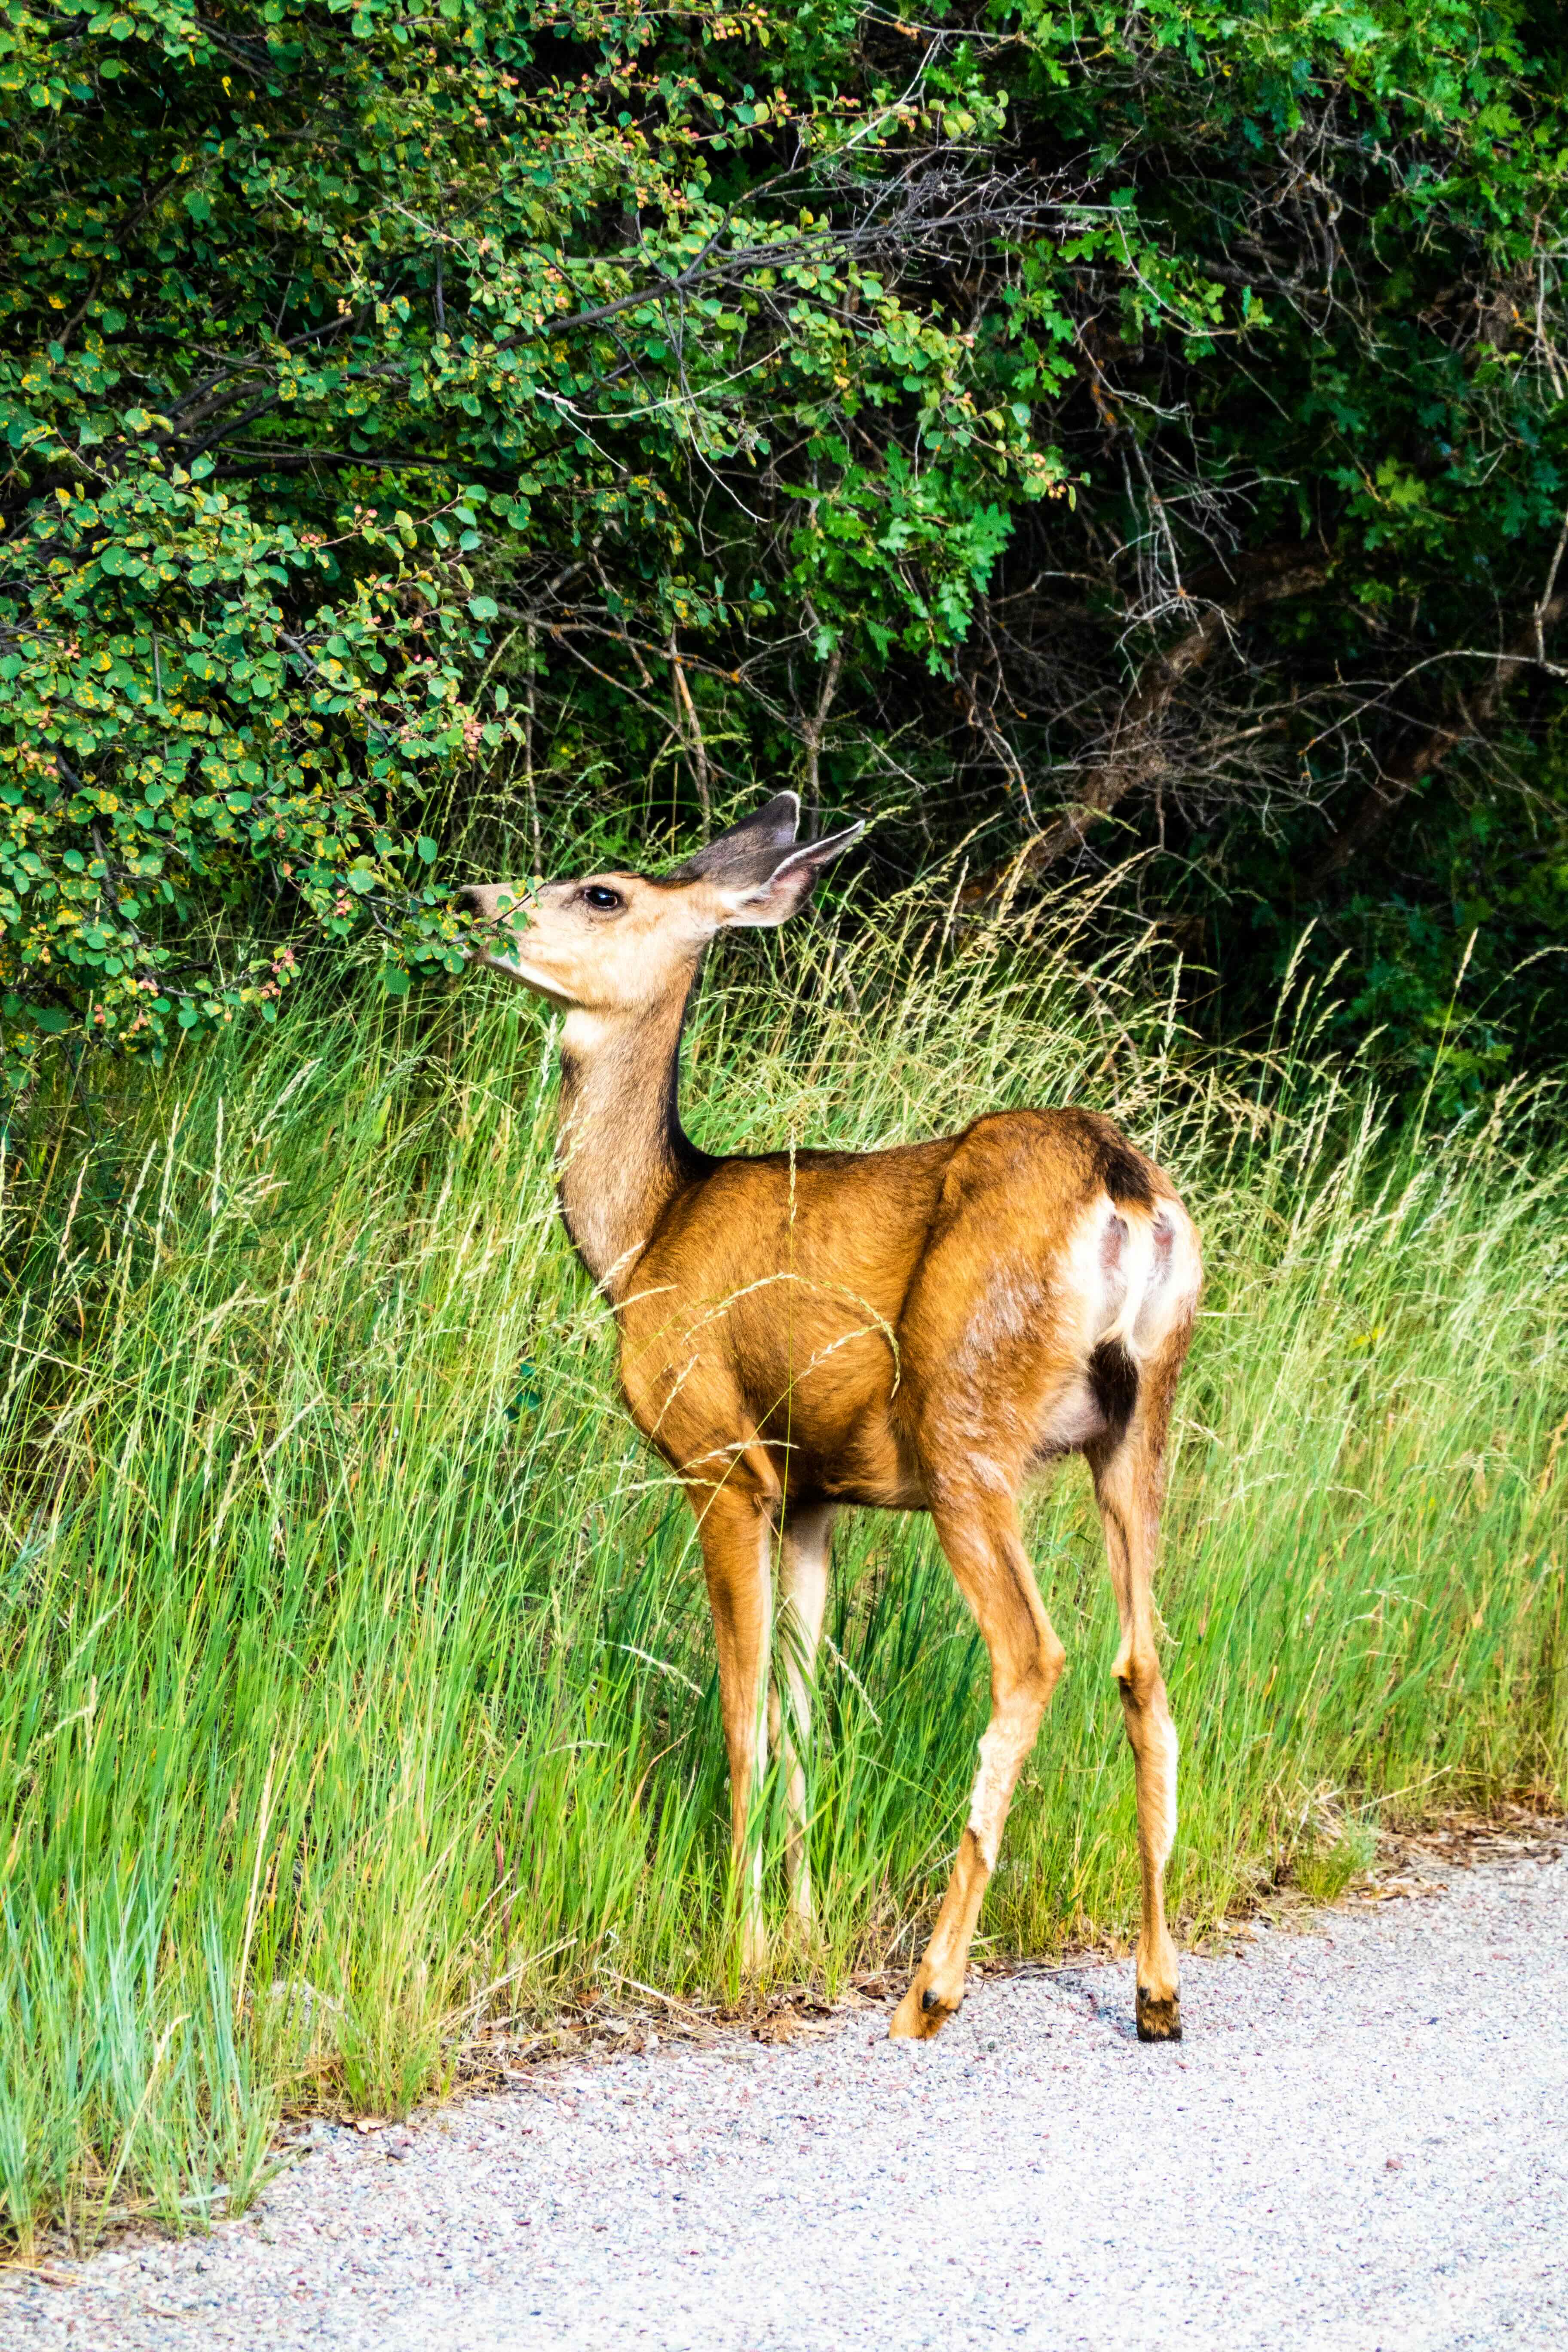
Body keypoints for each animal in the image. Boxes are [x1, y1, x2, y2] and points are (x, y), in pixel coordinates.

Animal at [465, 793, 1202, 2042]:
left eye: (604, 892)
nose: (472, 901)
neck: (642, 1237)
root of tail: (1125, 1185)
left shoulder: (722, 1457)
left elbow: (744, 1712)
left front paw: (739, 1940)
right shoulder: (815, 1491)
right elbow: (807, 1710)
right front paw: (801, 1925)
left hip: (967, 1420)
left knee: (1034, 1652)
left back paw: (932, 1989)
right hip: (1138, 1421)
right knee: (1143, 1668)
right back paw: (1156, 1994)